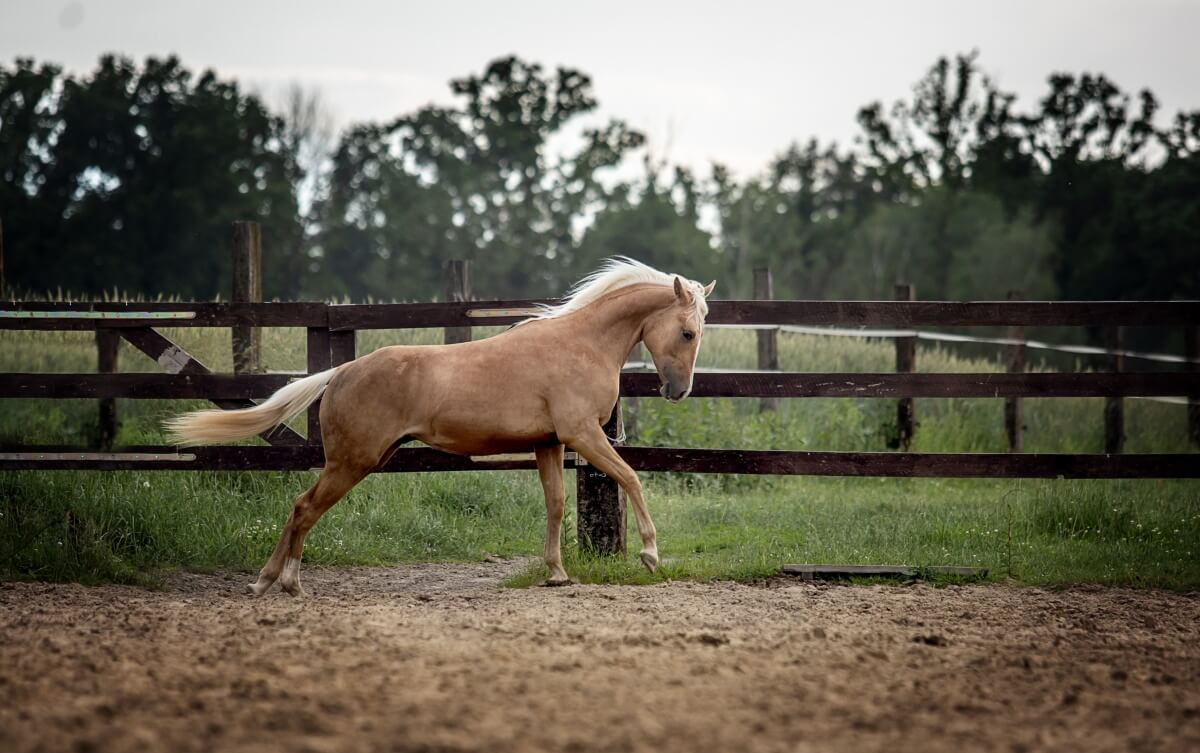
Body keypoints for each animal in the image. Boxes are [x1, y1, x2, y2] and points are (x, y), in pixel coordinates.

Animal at [166, 258, 715, 595]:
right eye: (688, 332)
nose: (678, 390)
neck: (580, 344)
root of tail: (342, 371)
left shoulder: (549, 443)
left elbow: (556, 503)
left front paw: (556, 573)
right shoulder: (584, 435)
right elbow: (631, 478)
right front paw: (650, 554)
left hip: (357, 461)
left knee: (300, 507)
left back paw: (266, 581)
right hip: (353, 462)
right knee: (304, 508)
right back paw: (285, 583)